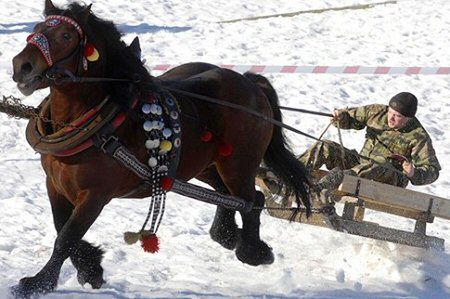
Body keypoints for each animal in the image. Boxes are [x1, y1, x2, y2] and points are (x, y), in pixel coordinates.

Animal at [12, 0, 312, 298]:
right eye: (36, 29)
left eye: (66, 36)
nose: (21, 66)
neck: (98, 123)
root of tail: (250, 82)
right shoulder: (55, 185)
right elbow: (61, 226)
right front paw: (90, 268)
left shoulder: (95, 195)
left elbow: (67, 236)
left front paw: (38, 283)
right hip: (202, 164)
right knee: (227, 195)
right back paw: (226, 235)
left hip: (238, 164)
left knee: (250, 201)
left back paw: (252, 251)